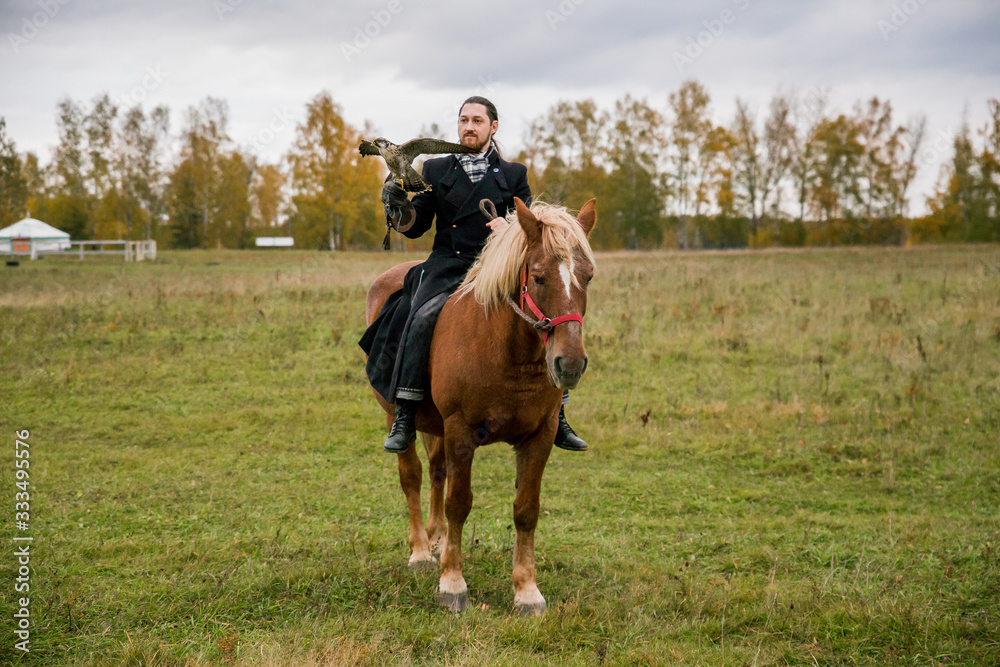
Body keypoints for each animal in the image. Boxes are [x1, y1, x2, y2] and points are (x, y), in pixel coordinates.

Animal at [364, 197, 592, 616]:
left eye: (587, 277)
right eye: (538, 277)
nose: (569, 363)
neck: (506, 352)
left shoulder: (541, 435)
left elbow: (526, 509)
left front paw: (527, 591)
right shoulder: (460, 431)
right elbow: (459, 503)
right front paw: (452, 585)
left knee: (437, 471)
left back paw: (436, 541)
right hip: (395, 415)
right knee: (412, 475)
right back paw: (421, 552)